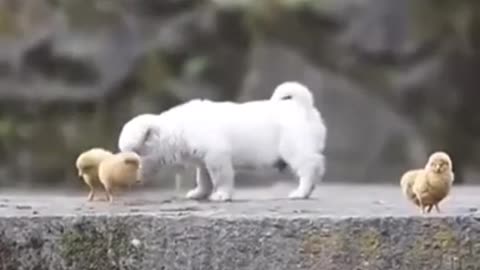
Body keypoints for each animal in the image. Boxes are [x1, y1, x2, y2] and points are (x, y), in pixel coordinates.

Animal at [117, 81, 326, 201]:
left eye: (134, 155)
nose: (133, 179)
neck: (176, 129)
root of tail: (305, 108)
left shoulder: (216, 152)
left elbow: (220, 174)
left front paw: (220, 195)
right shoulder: (201, 156)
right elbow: (203, 175)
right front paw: (199, 193)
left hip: (293, 141)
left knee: (307, 164)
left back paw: (301, 191)